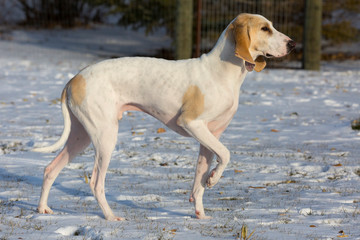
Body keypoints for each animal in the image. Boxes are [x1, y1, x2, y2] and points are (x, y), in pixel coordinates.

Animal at [34, 12, 296, 219]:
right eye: (265, 28)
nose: (293, 44)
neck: (222, 71)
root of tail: (73, 79)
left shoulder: (209, 137)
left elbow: (199, 178)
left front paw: (200, 211)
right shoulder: (192, 124)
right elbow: (226, 154)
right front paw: (214, 179)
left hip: (81, 137)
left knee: (50, 169)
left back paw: (43, 209)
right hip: (105, 137)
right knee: (96, 182)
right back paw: (110, 217)